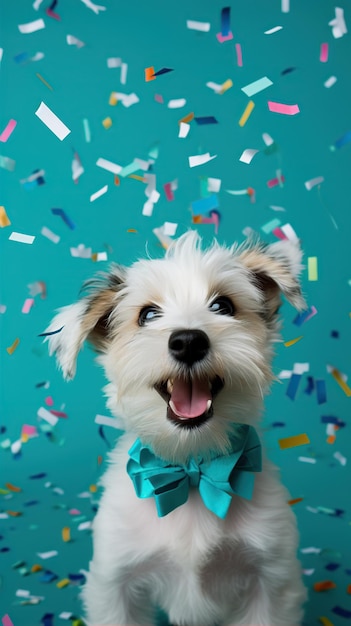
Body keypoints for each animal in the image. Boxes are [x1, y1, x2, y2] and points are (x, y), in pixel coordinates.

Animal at [46, 230, 308, 624]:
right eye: (148, 315)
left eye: (224, 306)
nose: (188, 341)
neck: (191, 466)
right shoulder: (114, 582)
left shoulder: (271, 581)